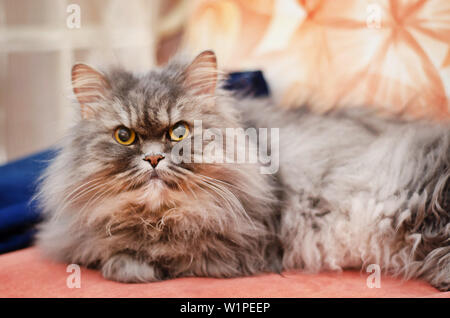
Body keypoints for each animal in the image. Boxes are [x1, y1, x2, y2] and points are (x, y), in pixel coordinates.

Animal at [36, 49, 450, 290]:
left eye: (179, 131)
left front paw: (138, 266)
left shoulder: (245, 247)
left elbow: (146, 255)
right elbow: (105, 250)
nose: (153, 159)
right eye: (125, 136)